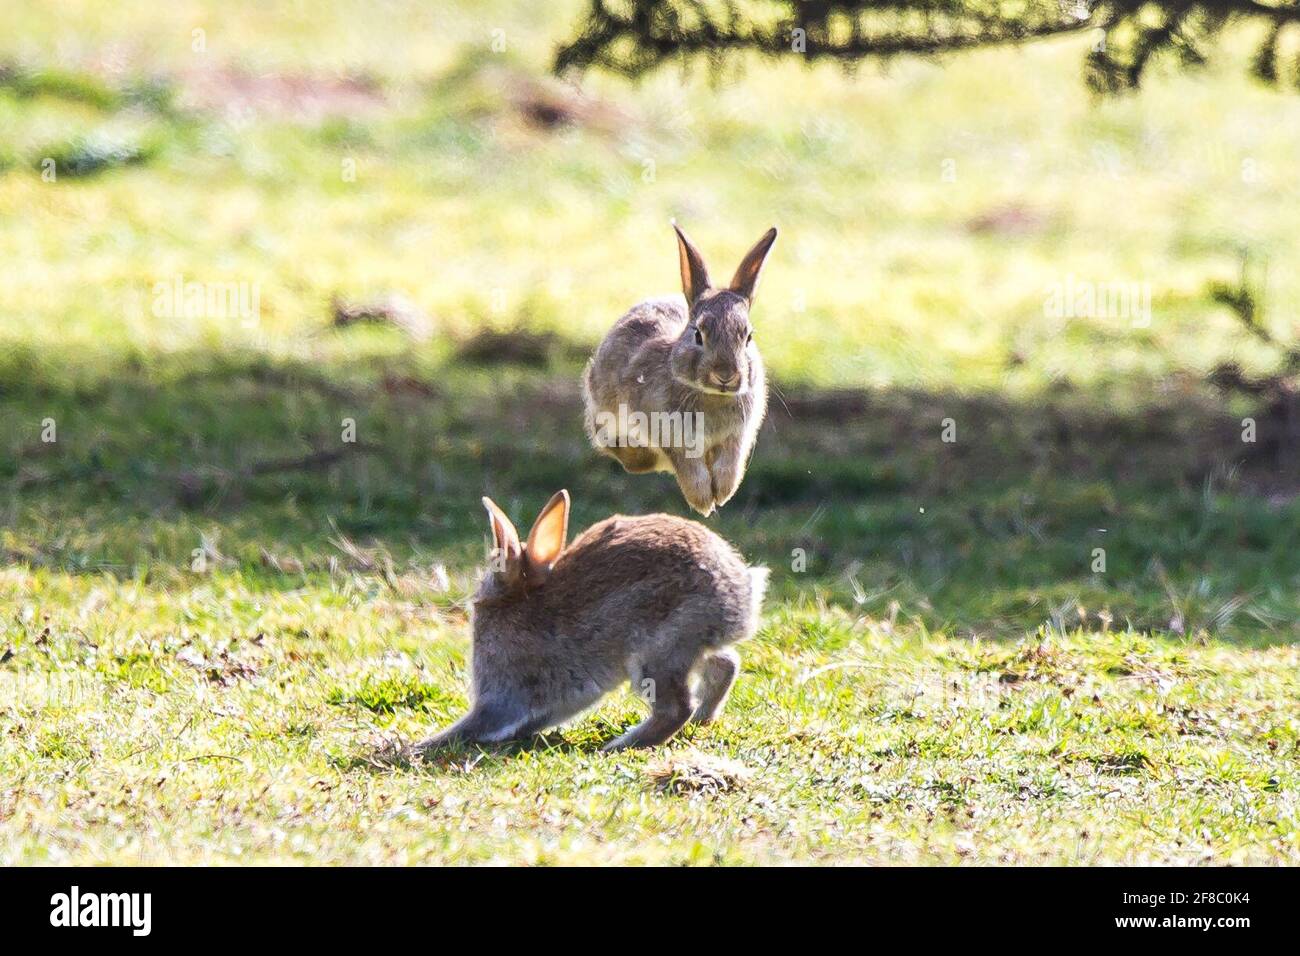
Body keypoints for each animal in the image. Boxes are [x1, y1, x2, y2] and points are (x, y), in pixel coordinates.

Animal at [407, 489, 768, 756]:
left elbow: (477, 723)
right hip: (691, 645)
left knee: (676, 708)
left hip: (658, 652)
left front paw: (420, 745)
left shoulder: (503, 694)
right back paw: (703, 720)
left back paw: (618, 746)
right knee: (726, 665)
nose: (476, 595)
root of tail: (741, 593)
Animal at [583, 223, 778, 515]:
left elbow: (729, 466)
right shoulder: (670, 434)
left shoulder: (737, 437)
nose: (725, 374)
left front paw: (722, 494)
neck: (712, 396)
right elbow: (691, 469)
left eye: (748, 337)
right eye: (698, 334)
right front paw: (703, 503)